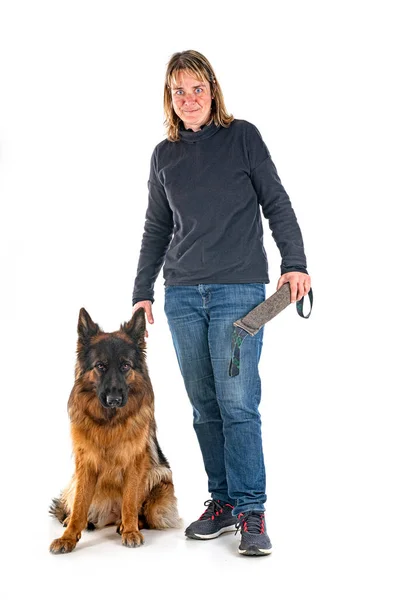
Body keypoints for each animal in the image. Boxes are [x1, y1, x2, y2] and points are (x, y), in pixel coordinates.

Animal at [48, 308, 180, 556]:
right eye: (100, 366)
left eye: (125, 366)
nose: (114, 400)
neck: (109, 423)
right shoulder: (86, 464)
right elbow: (79, 505)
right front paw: (69, 536)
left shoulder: (134, 463)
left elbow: (129, 501)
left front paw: (130, 531)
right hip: (74, 482)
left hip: (160, 479)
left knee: (144, 513)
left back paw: (126, 524)